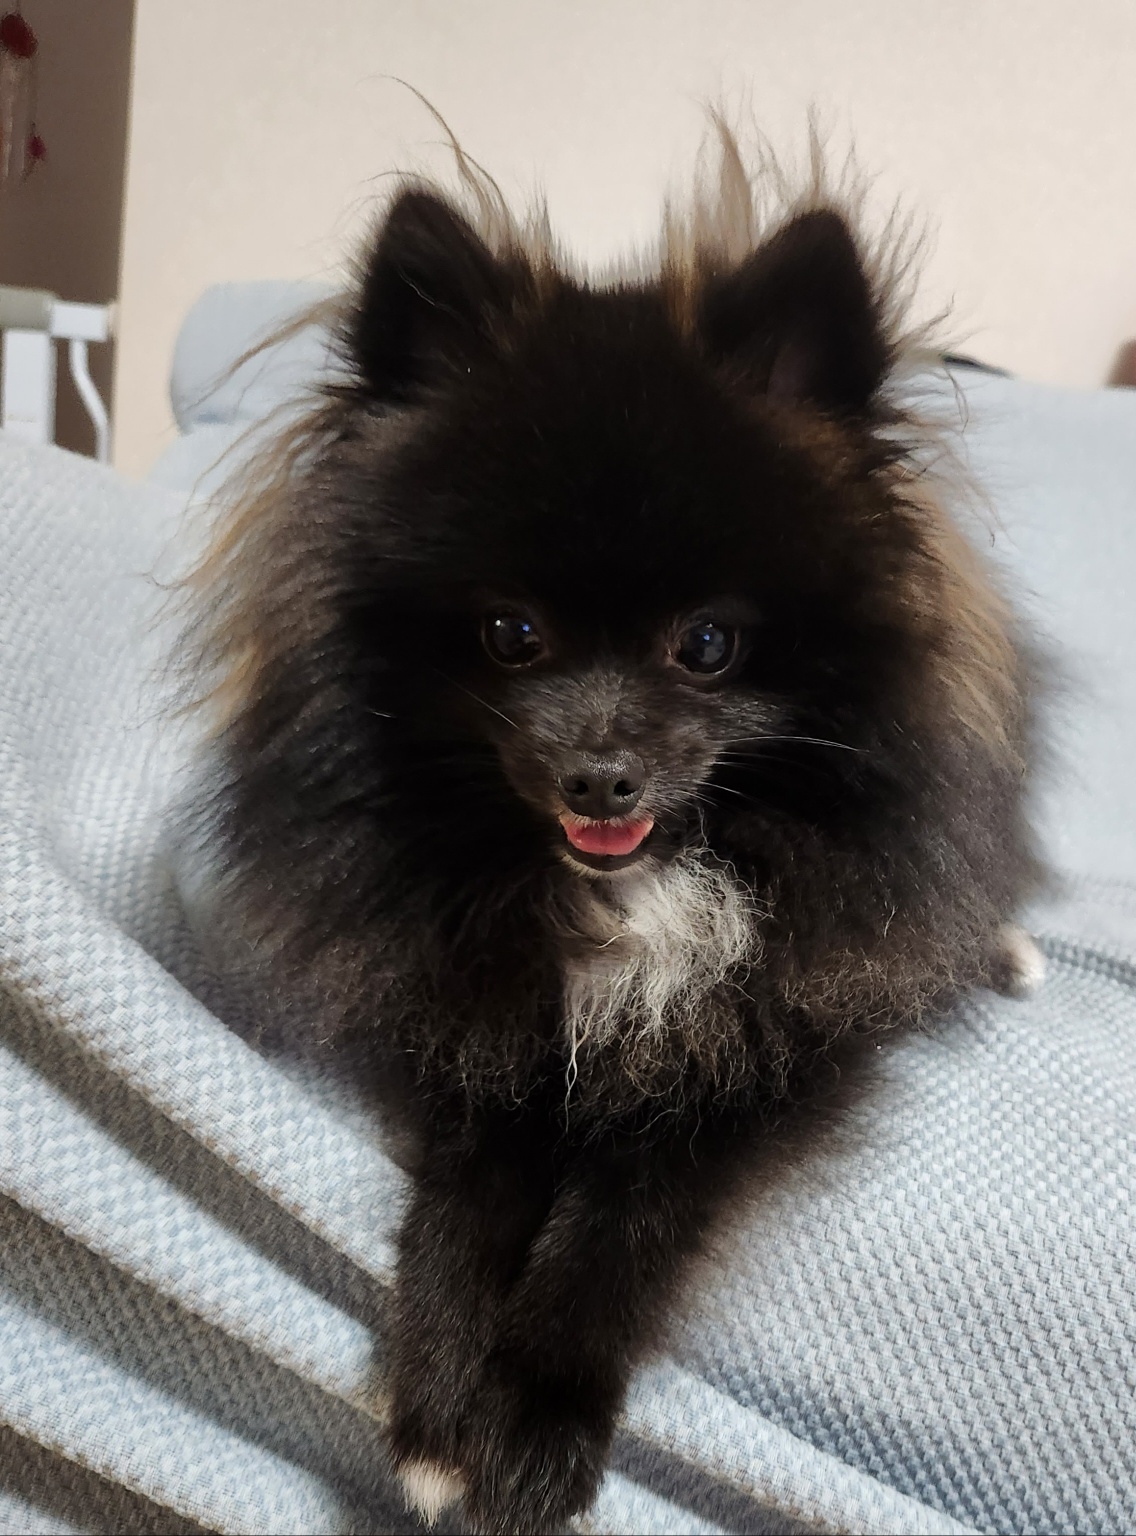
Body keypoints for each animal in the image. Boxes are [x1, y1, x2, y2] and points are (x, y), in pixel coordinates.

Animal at [192, 127, 1045, 1533]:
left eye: (706, 644)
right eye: (509, 634)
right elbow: (468, 1197)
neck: (628, 898)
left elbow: (625, 1223)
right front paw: (441, 1407)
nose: (600, 777)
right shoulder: (482, 1012)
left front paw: (535, 1425)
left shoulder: (762, 1037)